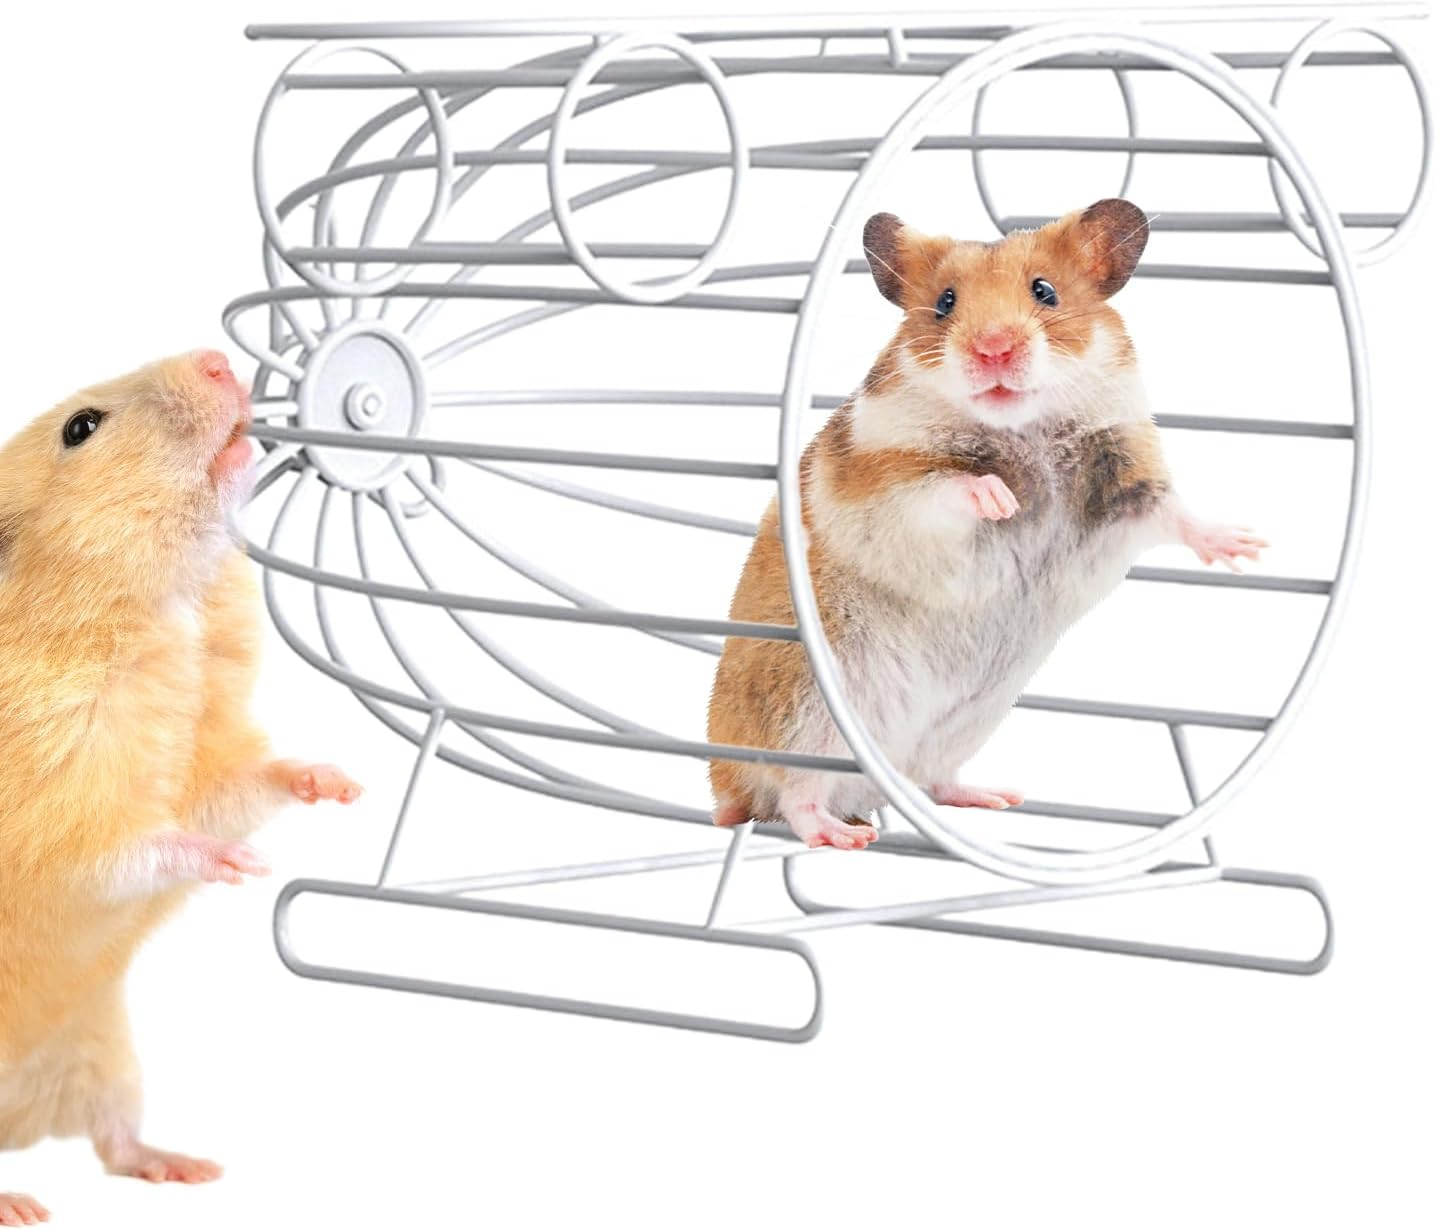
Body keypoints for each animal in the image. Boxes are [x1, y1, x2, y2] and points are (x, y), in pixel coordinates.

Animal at [0, 351, 360, 1220]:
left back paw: (184, 1167)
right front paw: (235, 867)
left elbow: (248, 784)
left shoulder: (211, 761)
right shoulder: (58, 820)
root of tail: (18, 1129)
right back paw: (19, 1204)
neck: (171, 608)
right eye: (81, 426)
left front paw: (337, 783)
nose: (219, 358)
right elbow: (132, 849)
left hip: (106, 1052)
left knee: (113, 1142)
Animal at [707, 199, 1265, 851]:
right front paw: (1001, 499)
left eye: (1045, 291)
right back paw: (841, 835)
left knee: (932, 779)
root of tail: (722, 783)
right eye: (945, 302)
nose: (993, 349)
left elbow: (1174, 513)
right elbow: (945, 487)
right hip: (803, 707)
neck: (1022, 427)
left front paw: (1247, 547)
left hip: (964, 722)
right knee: (793, 795)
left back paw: (994, 797)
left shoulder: (1127, 477)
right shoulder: (883, 483)